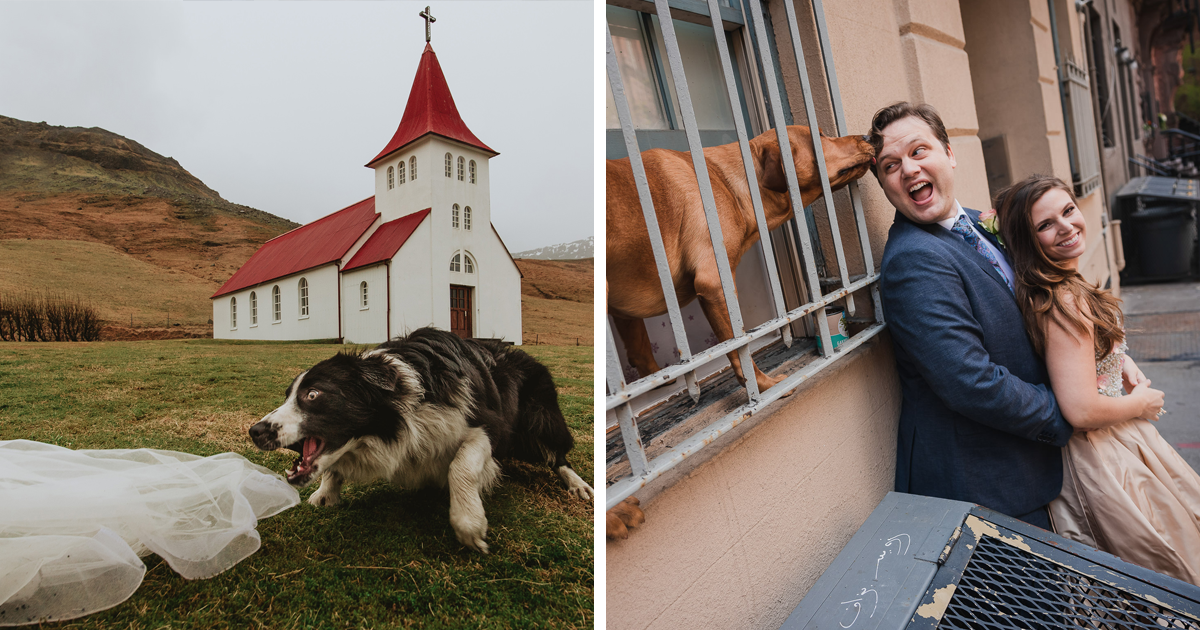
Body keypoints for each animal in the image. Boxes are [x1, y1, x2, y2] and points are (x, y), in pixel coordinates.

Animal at [609, 126, 873, 393]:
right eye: (819, 136)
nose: (868, 136)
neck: (727, 182)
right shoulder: (715, 285)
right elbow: (739, 349)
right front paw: (763, 385)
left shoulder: (625, 311)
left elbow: (639, 351)